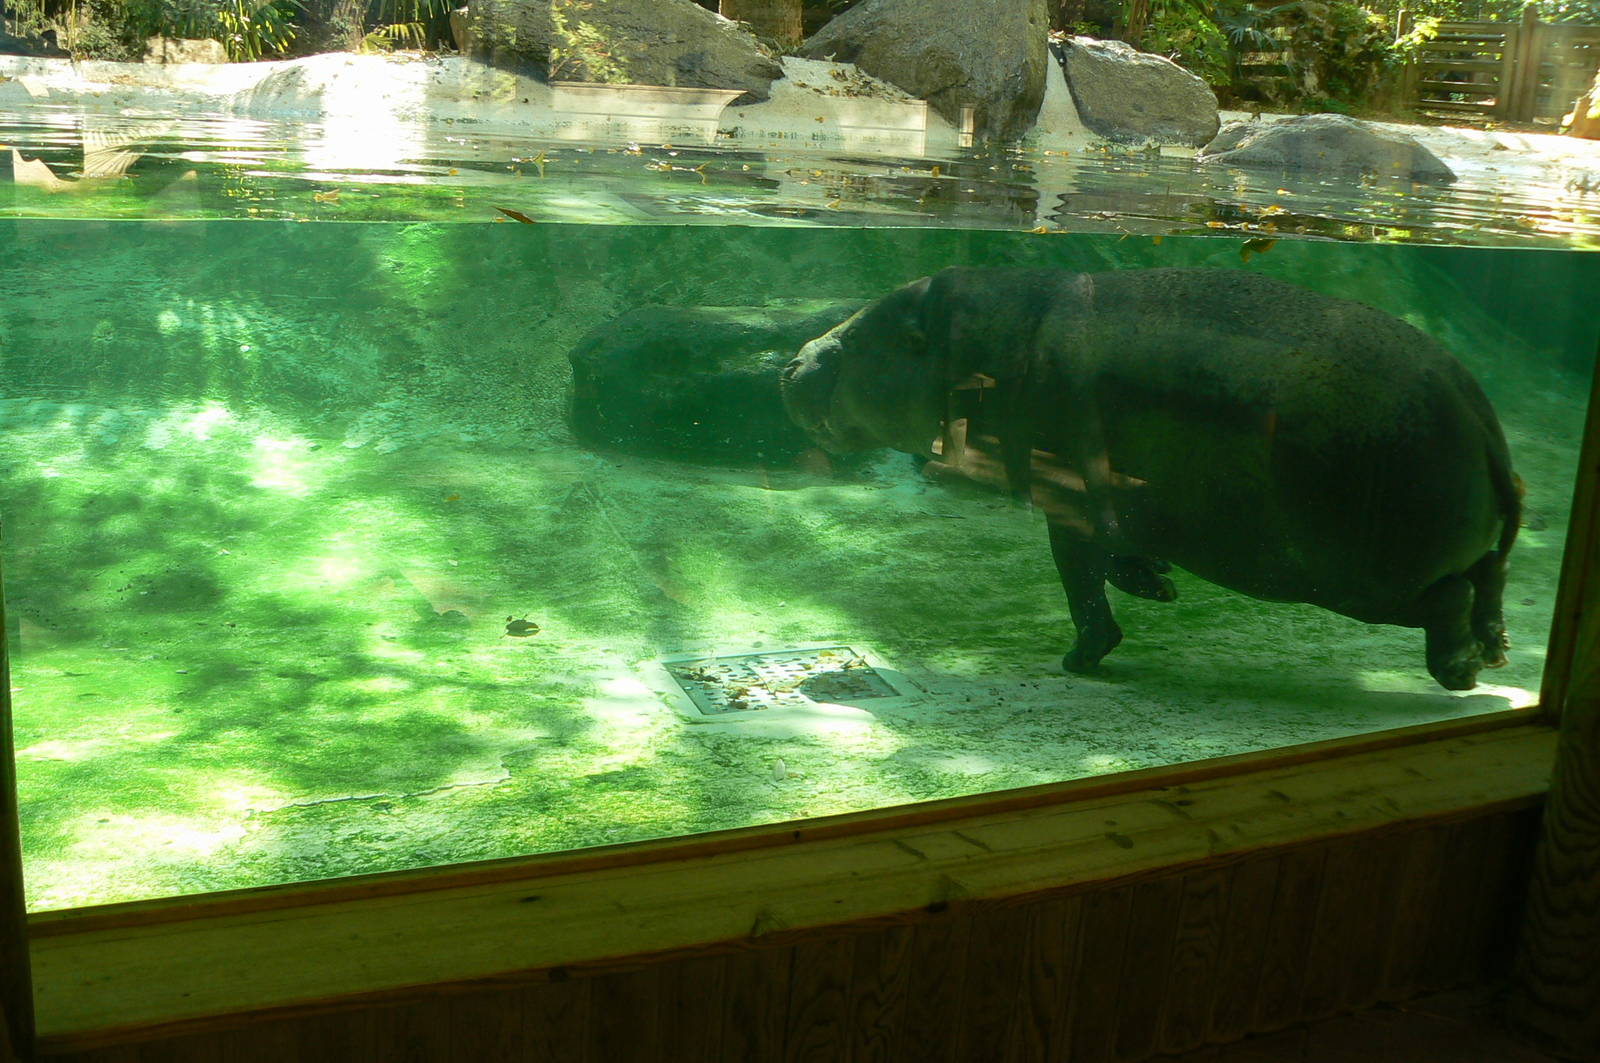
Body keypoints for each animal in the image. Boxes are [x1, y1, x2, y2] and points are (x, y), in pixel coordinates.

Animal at [780, 267, 1520, 690]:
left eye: (861, 339)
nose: (792, 362)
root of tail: (1484, 419)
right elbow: (1115, 557)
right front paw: (1160, 584)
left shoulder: (1070, 502)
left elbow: (1081, 580)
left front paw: (1081, 661)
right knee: (1489, 577)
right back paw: (1495, 653)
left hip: (1359, 579)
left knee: (1450, 596)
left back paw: (1458, 673)